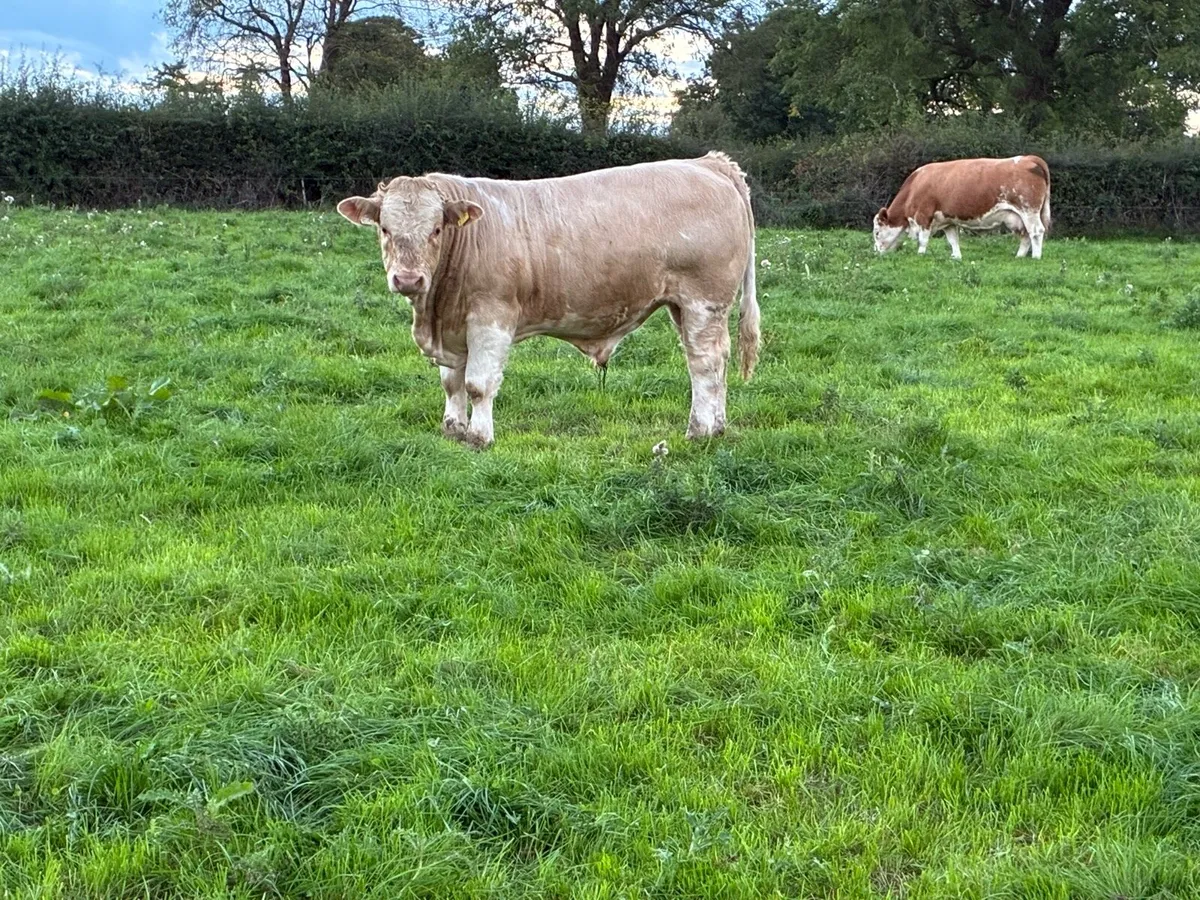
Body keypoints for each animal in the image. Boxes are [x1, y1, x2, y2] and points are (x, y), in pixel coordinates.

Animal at [336, 153, 760, 448]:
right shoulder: (453, 329)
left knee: (704, 364)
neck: (436, 311)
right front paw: (453, 430)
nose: (408, 279)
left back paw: (699, 431)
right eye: (385, 229)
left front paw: (479, 437)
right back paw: (718, 427)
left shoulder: (491, 318)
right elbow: (451, 383)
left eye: (437, 229)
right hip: (687, 306)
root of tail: (707, 163)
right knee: (718, 361)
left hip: (703, 301)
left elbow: (477, 385)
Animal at [873, 156, 1051, 260]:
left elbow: (923, 240)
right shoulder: (948, 221)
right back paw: (1019, 256)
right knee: (1026, 234)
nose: (875, 252)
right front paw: (956, 257)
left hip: (1029, 210)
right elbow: (953, 240)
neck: (915, 185)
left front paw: (920, 255)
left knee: (1036, 231)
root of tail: (1029, 158)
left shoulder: (923, 216)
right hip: (1018, 217)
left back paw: (1036, 257)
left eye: (877, 232)